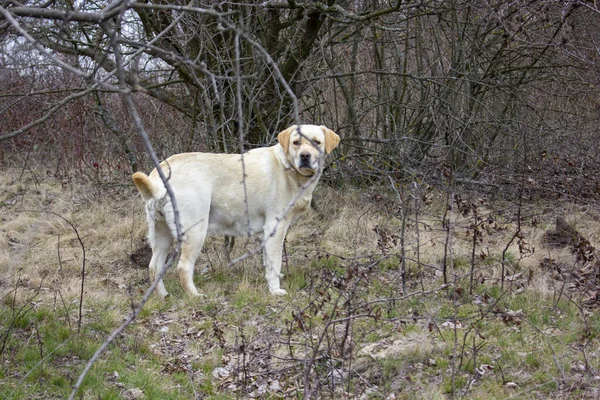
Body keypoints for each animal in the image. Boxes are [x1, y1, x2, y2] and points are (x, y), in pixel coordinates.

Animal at [131, 125, 340, 296]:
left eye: (316, 142)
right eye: (296, 142)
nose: (305, 156)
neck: (288, 169)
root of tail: (159, 177)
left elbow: (268, 261)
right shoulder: (276, 226)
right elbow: (275, 261)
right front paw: (275, 290)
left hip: (162, 234)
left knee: (153, 267)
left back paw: (164, 296)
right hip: (195, 231)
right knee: (183, 267)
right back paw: (195, 296)